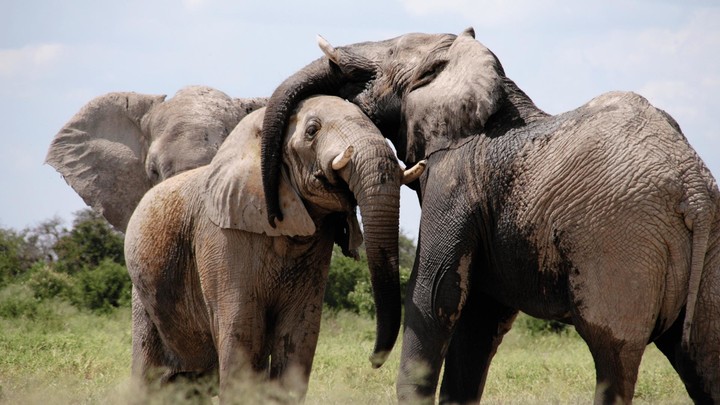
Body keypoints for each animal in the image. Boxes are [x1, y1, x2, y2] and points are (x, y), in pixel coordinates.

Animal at [124, 95, 425, 401]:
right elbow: (242, 333)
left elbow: (299, 334)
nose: (373, 361)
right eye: (312, 130)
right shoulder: (222, 238)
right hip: (143, 295)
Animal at [258, 29, 720, 403]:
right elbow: (479, 318)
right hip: (708, 249)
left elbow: (434, 295)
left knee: (613, 358)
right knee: (702, 360)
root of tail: (693, 189)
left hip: (621, 244)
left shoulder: (455, 178)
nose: (276, 213)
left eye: (387, 54)